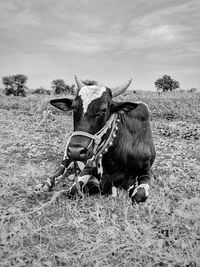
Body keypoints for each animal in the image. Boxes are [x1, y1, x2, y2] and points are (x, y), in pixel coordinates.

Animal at [35, 76, 155, 204]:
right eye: (74, 107)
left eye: (104, 109)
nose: (76, 151)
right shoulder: (88, 166)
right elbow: (74, 190)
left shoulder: (146, 171)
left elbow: (139, 195)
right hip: (67, 156)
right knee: (60, 170)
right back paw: (45, 185)